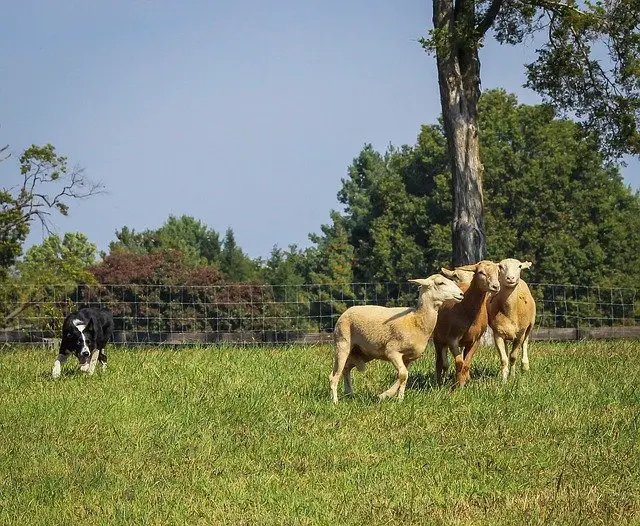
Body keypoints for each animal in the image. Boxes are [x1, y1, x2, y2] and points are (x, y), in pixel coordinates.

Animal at [330, 276, 464, 404]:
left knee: (346, 368)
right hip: (343, 344)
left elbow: (403, 376)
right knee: (334, 375)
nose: (462, 294)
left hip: (363, 352)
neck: (416, 320)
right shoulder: (392, 351)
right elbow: (403, 374)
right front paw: (390, 396)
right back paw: (335, 402)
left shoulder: (408, 358)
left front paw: (394, 397)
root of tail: (346, 311)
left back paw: (349, 393)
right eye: (440, 283)